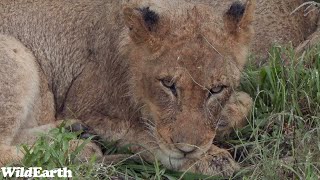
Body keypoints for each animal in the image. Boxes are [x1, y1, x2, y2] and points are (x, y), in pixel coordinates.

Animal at [0, 0, 318, 177]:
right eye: (168, 84)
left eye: (217, 89)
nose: (188, 149)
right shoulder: (86, 105)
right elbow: (149, 137)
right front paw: (211, 159)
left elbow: (247, 100)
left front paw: (222, 122)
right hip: (16, 51)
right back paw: (81, 149)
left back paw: (71, 133)